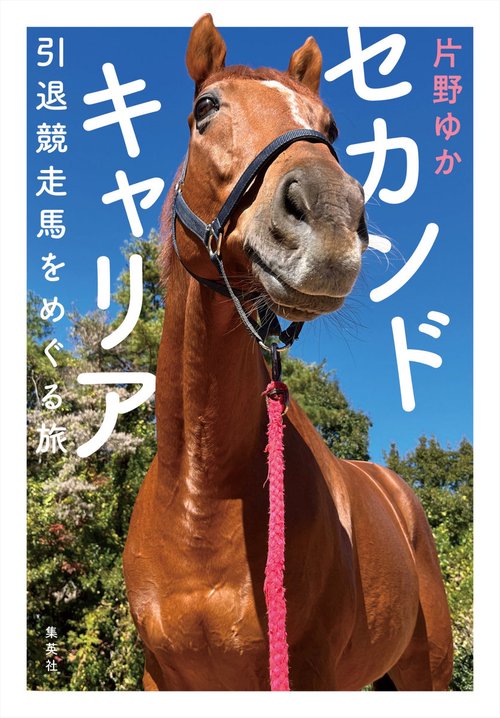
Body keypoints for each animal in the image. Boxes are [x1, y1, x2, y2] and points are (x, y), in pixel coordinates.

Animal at [123, 14, 453, 691]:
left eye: (330, 128)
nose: (330, 219)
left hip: (426, 669)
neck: (201, 499)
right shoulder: (162, 677)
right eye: (205, 108)